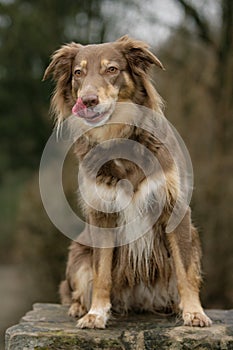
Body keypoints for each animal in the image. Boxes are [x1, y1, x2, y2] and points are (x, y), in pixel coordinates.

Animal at [43, 34, 211, 328]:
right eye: (78, 73)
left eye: (112, 69)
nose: (88, 100)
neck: (118, 135)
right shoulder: (102, 214)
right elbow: (101, 272)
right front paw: (96, 313)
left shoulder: (175, 208)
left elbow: (185, 270)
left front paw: (193, 311)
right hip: (78, 253)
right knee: (74, 286)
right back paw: (78, 307)